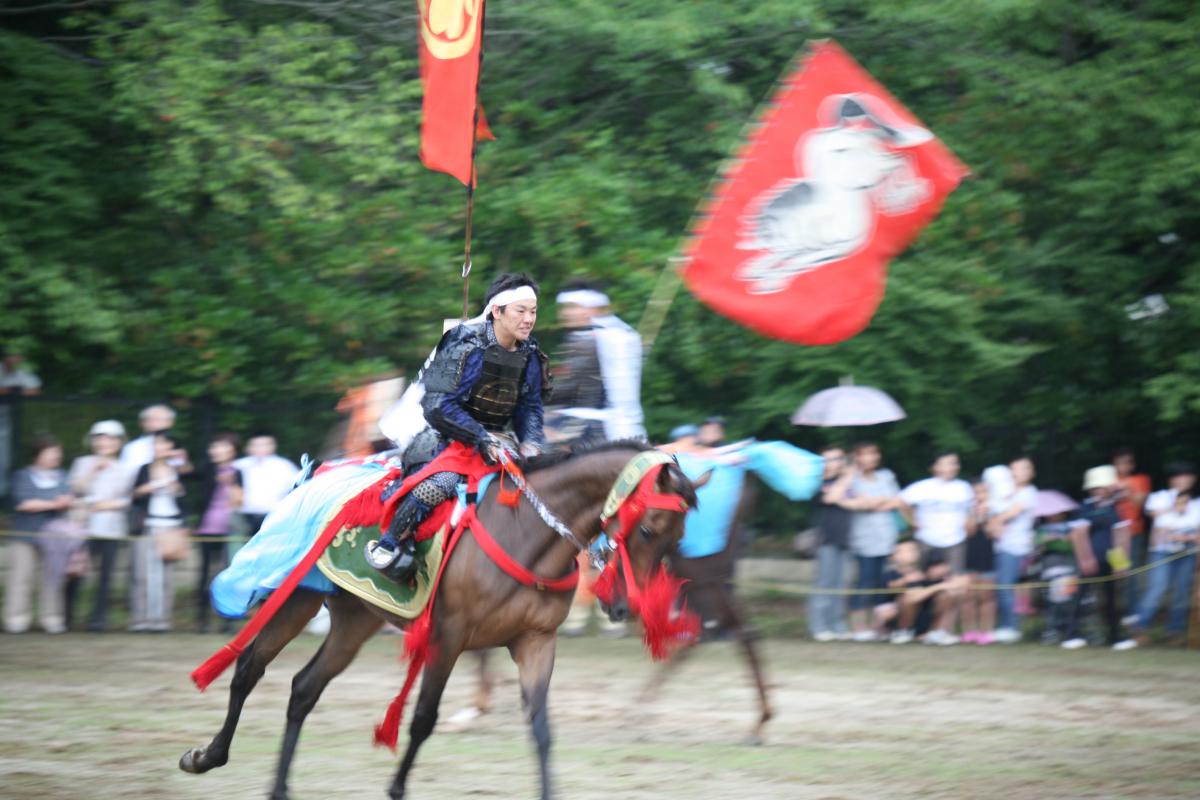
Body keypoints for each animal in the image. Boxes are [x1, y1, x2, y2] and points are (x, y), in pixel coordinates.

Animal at [180, 443, 700, 800]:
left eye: (674, 541)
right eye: (647, 529)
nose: (624, 608)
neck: (526, 536)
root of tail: (314, 473)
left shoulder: (536, 641)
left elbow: (541, 729)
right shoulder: (448, 637)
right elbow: (423, 719)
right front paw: (396, 789)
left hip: (354, 620)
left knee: (304, 688)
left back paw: (279, 787)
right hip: (297, 598)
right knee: (249, 667)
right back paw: (207, 756)